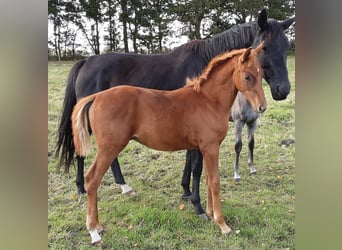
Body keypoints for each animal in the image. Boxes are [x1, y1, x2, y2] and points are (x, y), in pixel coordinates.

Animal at [54, 8, 296, 217]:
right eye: (264, 48)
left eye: (286, 47)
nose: (282, 90)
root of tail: (86, 61)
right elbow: (196, 165)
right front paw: (196, 202)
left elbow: (190, 163)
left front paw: (186, 191)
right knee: (81, 150)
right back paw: (83, 188)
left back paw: (121, 185)